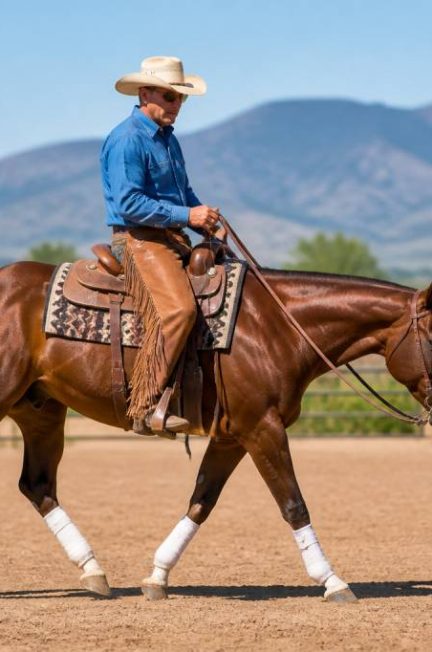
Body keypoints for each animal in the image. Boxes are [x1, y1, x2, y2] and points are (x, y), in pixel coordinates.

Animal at [1, 260, 431, 602]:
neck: (278, 327)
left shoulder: (232, 436)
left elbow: (201, 501)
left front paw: (157, 577)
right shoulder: (263, 429)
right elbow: (293, 504)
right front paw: (333, 581)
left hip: (42, 412)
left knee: (37, 485)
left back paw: (93, 570)